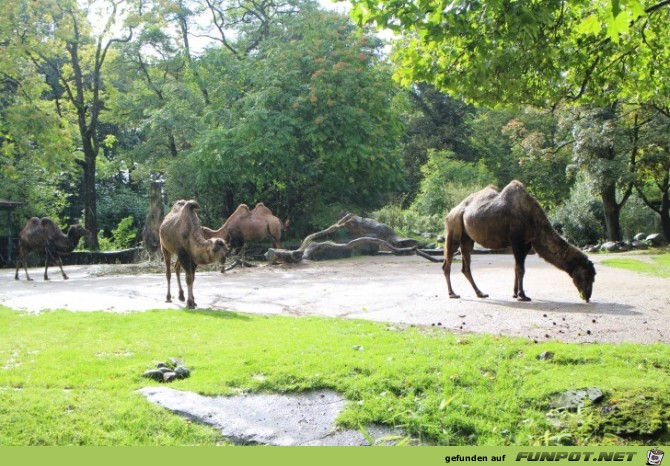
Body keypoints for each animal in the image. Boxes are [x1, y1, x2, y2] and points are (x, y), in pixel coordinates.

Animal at [446, 180, 600, 304]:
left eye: (593, 276)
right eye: (587, 275)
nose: (587, 296)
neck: (533, 220)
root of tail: (450, 213)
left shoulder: (526, 244)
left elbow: (517, 268)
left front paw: (515, 294)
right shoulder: (517, 241)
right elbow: (521, 269)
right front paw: (522, 296)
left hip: (467, 238)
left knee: (465, 266)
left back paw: (480, 293)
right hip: (453, 228)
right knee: (448, 262)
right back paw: (453, 294)